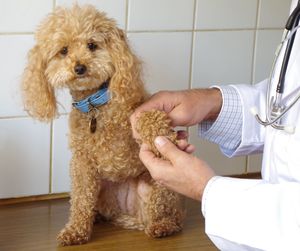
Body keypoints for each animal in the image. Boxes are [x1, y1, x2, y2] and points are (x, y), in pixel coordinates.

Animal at [21, 4, 184, 246]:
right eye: (63, 50)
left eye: (92, 45)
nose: (79, 67)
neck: (95, 104)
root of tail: (128, 215)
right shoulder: (82, 162)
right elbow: (80, 200)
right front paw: (75, 230)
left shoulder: (138, 106)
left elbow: (149, 117)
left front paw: (161, 136)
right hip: (102, 192)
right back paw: (97, 217)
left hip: (158, 189)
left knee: (171, 217)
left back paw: (162, 226)